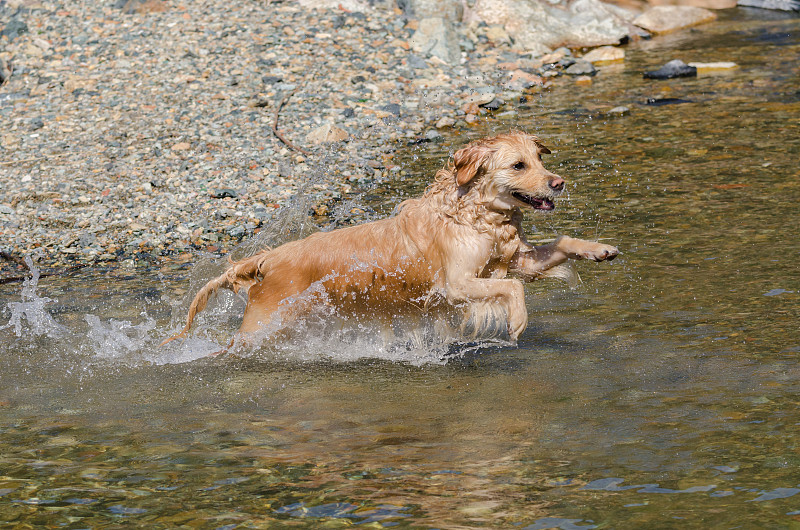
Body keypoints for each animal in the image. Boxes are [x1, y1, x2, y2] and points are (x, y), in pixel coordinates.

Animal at [164, 131, 620, 346]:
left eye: (540, 158)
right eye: (518, 164)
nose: (558, 183)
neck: (474, 215)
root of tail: (267, 258)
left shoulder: (515, 259)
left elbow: (560, 242)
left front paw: (600, 249)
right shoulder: (456, 284)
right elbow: (512, 289)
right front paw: (518, 320)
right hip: (263, 324)